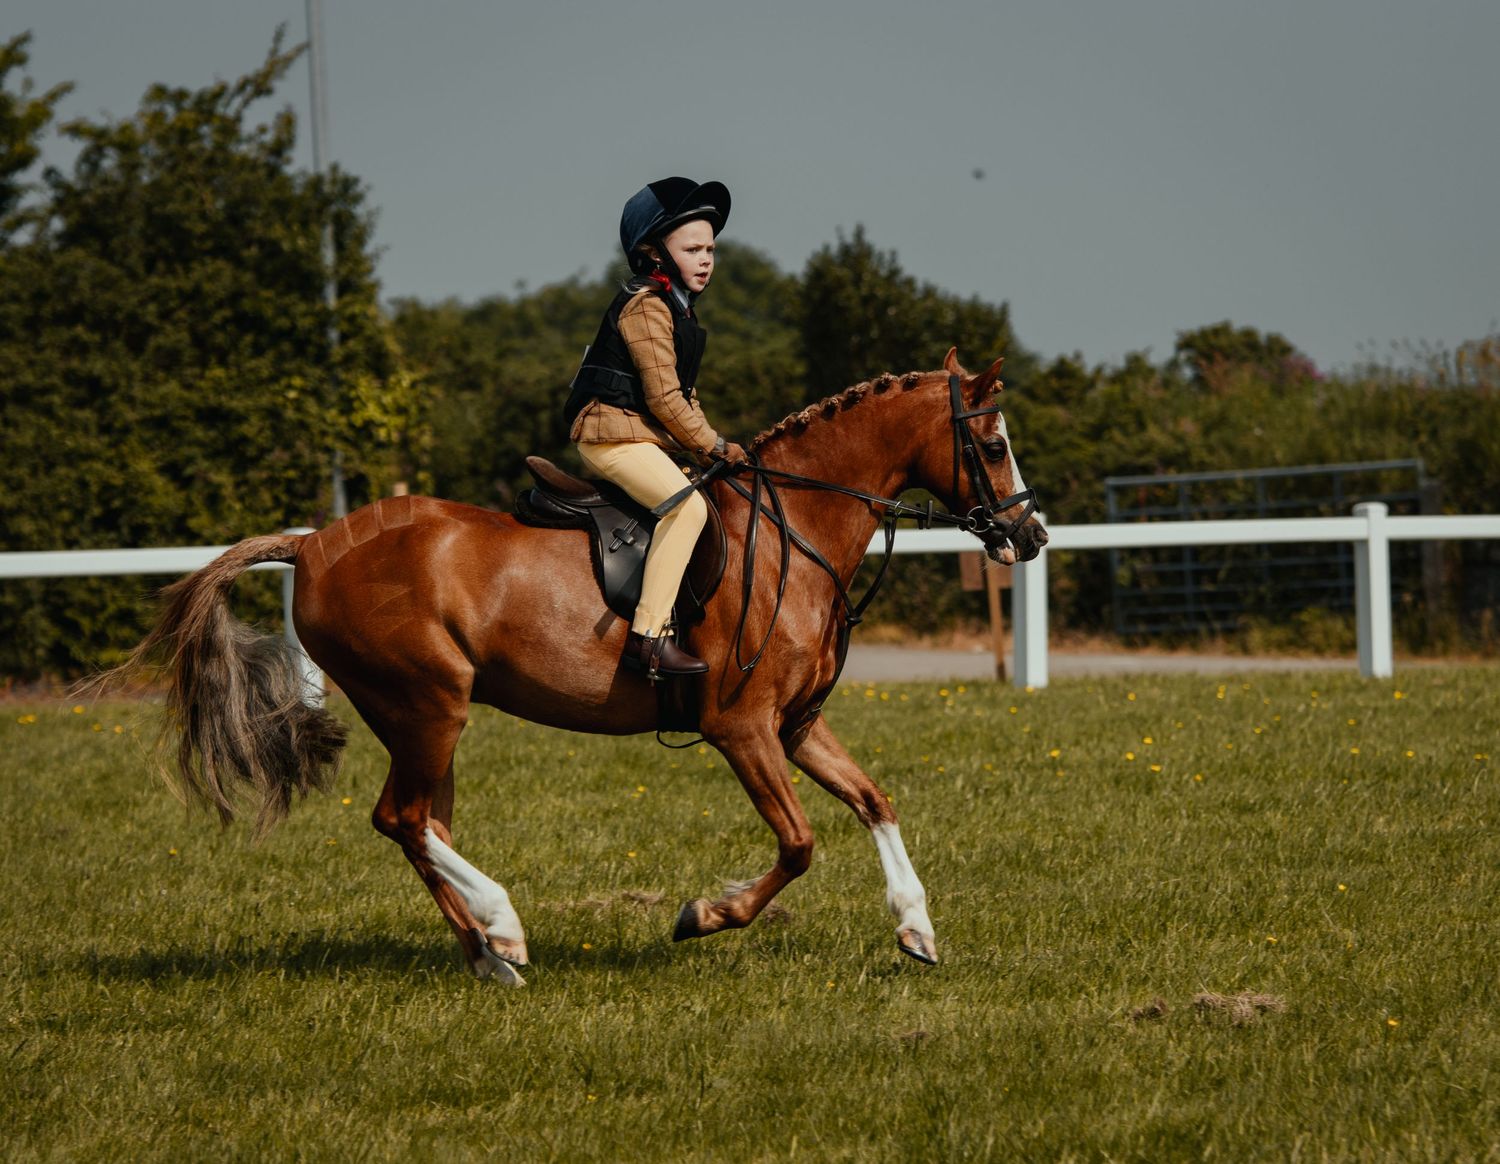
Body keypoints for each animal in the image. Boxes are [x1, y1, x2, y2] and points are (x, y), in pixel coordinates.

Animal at [116, 349, 1047, 984]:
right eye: (992, 444)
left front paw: (916, 926)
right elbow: (798, 843)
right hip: (427, 704)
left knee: (421, 826)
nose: (1031, 536)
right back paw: (502, 924)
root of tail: (313, 546)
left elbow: (873, 801)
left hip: (427, 718)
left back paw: (489, 951)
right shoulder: (741, 728)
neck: (798, 529)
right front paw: (705, 913)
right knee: (403, 818)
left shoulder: (795, 726)